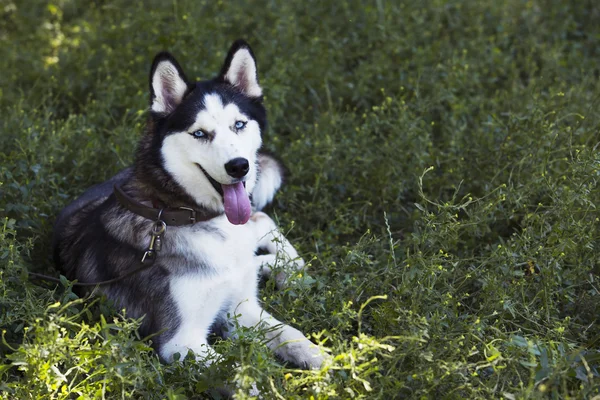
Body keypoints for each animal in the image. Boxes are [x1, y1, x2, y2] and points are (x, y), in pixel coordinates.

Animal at [52, 40, 324, 372]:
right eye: (199, 133)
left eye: (239, 125)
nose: (239, 166)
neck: (183, 213)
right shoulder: (181, 341)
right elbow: (236, 368)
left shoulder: (242, 308)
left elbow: (289, 333)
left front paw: (324, 360)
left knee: (260, 221)